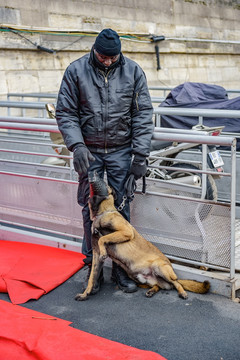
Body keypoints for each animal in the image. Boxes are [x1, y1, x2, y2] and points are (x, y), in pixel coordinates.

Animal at [75, 172, 210, 300]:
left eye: (105, 182)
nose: (92, 173)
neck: (102, 213)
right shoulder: (96, 256)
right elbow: (92, 278)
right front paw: (85, 294)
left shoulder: (126, 231)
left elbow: (103, 238)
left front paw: (104, 250)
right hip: (138, 277)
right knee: (160, 285)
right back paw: (151, 291)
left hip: (159, 267)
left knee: (176, 283)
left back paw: (182, 292)